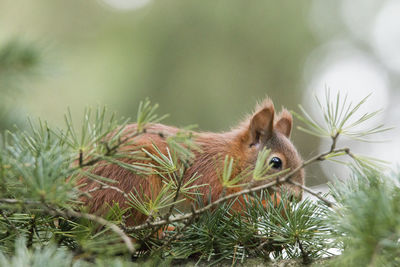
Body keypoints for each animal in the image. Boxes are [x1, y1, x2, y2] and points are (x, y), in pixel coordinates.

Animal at [77, 98, 304, 226]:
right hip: (135, 179)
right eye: (276, 162)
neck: (231, 157)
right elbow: (221, 200)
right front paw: (275, 203)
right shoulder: (209, 173)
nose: (298, 197)